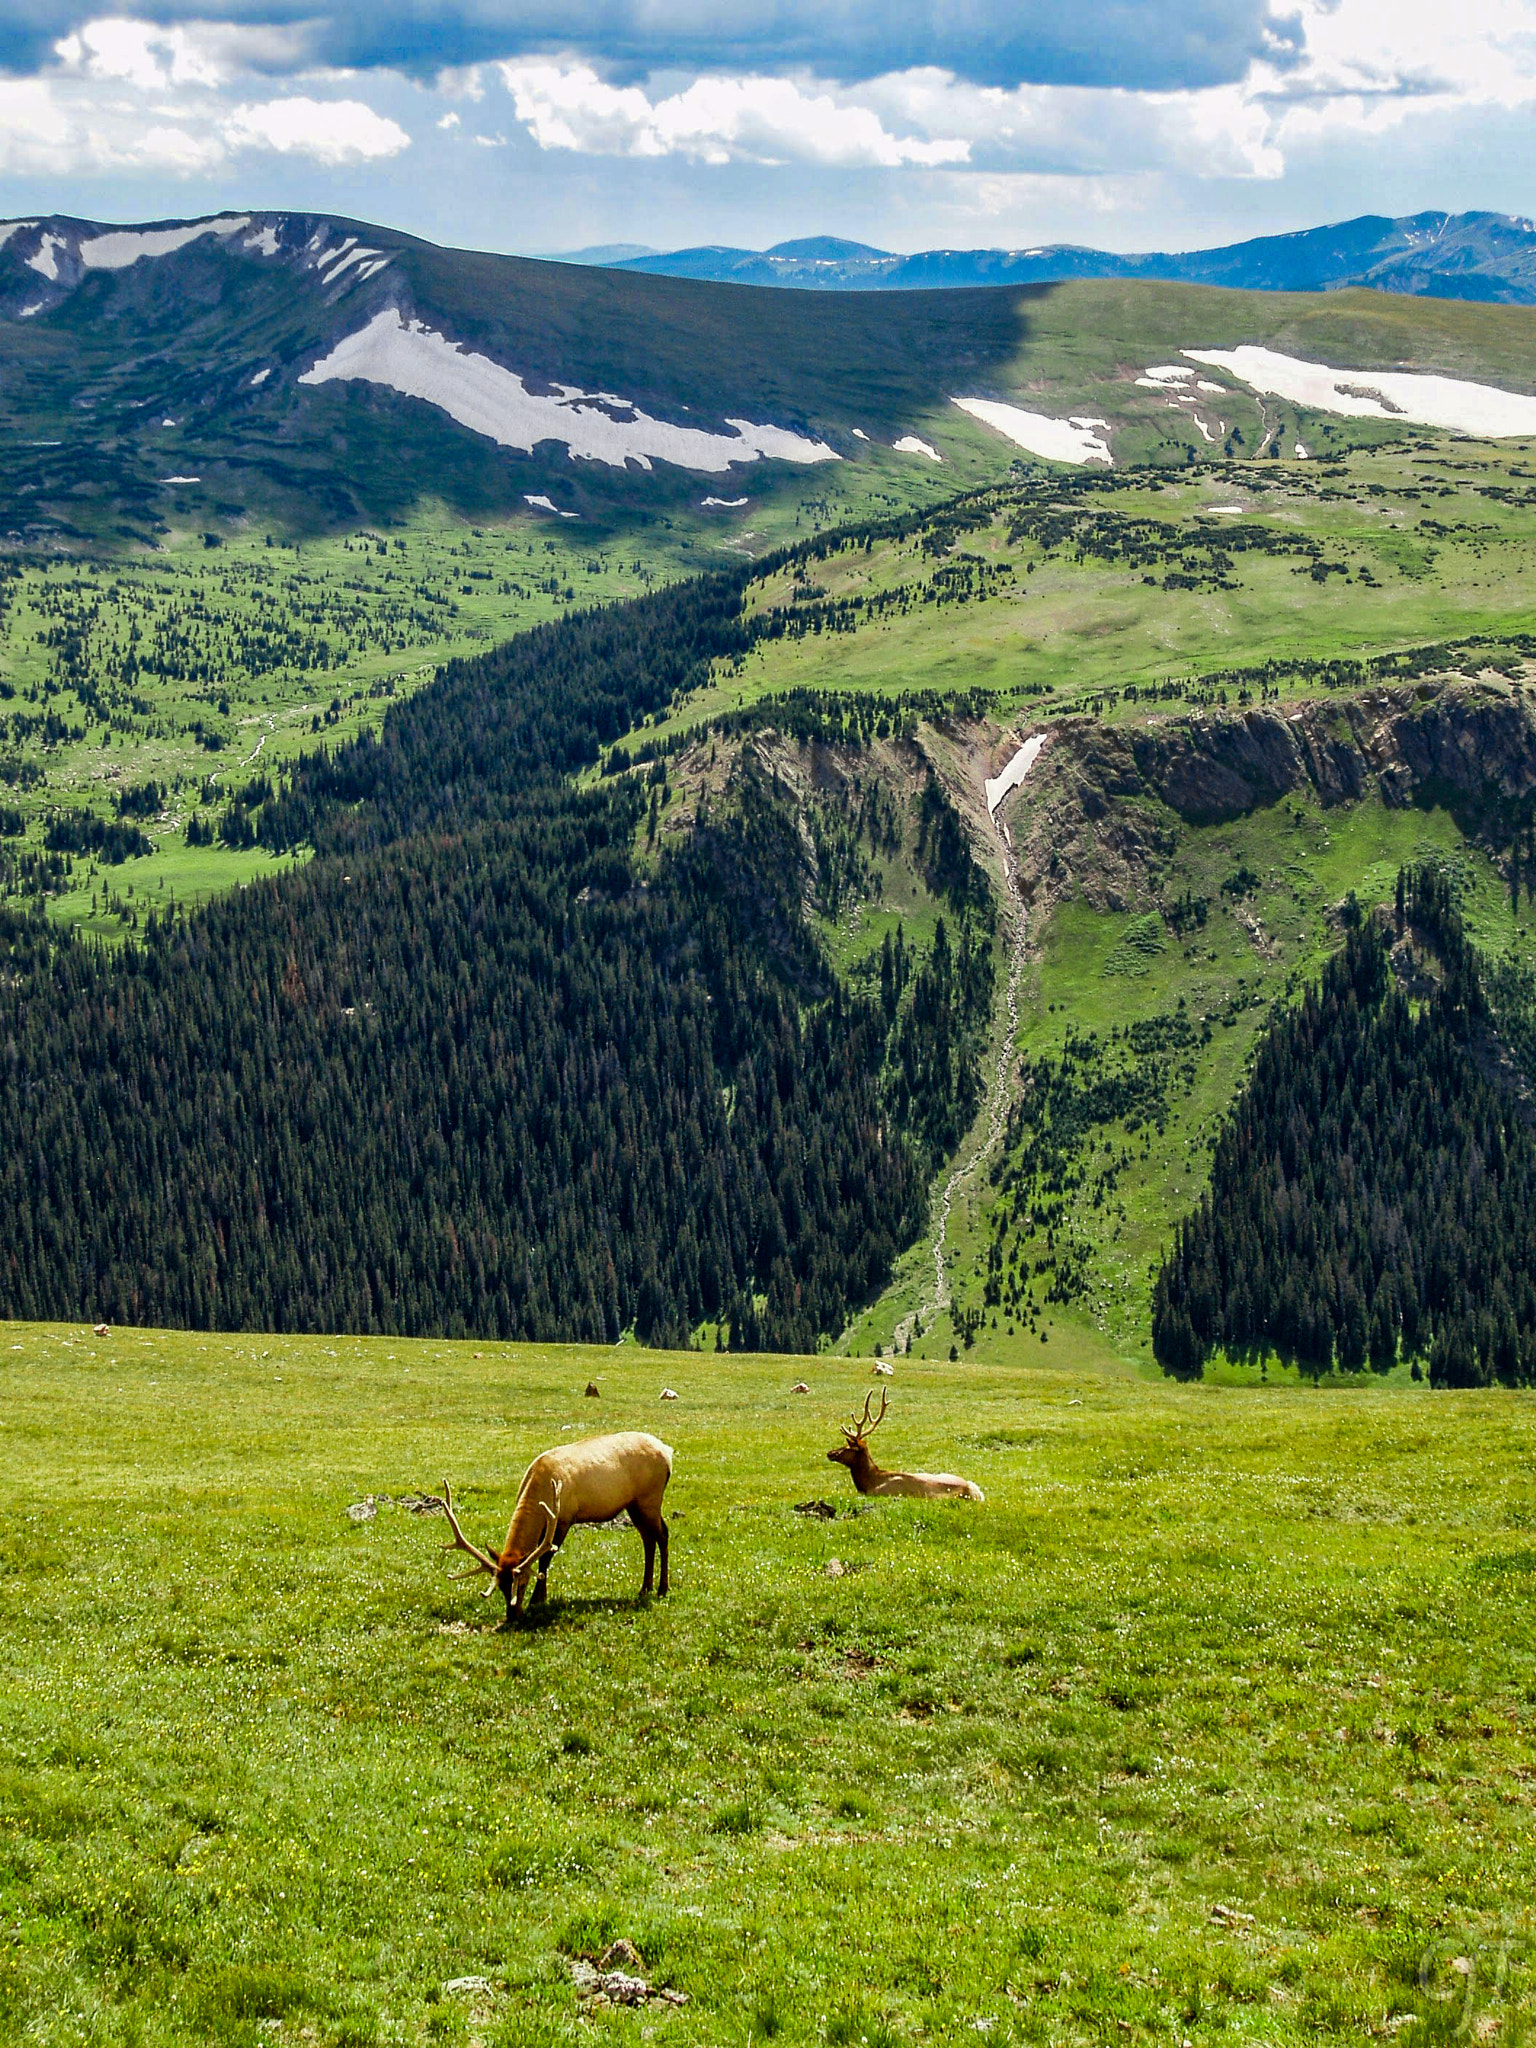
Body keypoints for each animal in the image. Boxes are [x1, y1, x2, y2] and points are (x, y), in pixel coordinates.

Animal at [425, 1430, 672, 1626]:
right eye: (501, 1587)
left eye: (522, 1584)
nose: (512, 1616)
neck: (540, 1485)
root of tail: (668, 1452)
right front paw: (539, 1598)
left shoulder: (563, 1519)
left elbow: (545, 1558)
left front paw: (537, 1600)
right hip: (634, 1504)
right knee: (648, 1538)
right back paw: (645, 1588)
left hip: (649, 1498)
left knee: (662, 1534)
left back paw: (662, 1589)